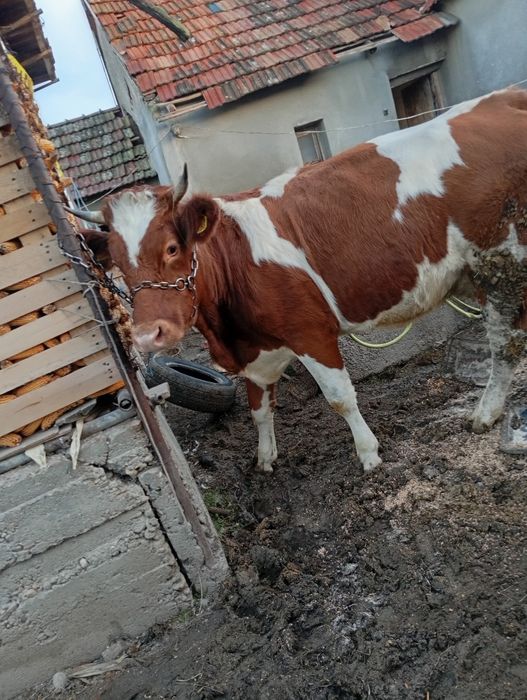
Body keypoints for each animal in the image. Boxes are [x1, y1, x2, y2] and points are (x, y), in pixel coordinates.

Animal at [70, 88, 527, 474]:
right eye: (118, 265)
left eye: (171, 248)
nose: (149, 335)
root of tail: (505, 97)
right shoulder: (255, 354)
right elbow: (258, 409)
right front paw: (264, 459)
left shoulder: (311, 333)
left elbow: (340, 398)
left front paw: (369, 454)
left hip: (502, 261)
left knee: (505, 346)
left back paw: (484, 415)